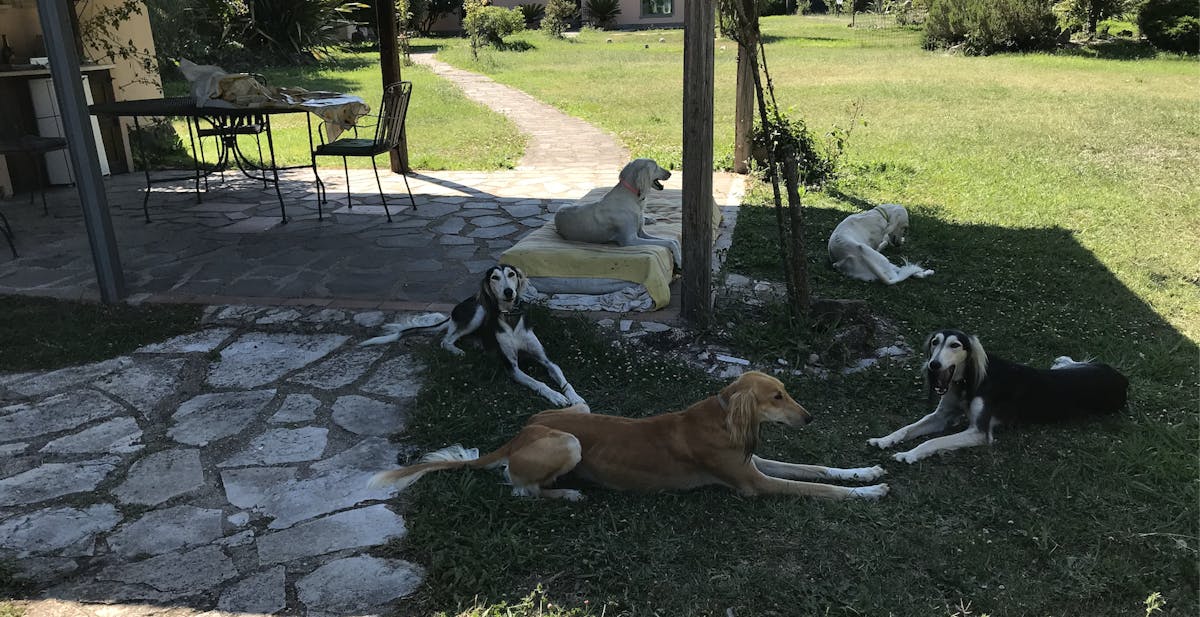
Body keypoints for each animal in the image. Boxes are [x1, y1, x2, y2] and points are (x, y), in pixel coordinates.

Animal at [357, 261, 583, 405]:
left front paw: (575, 398)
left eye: (511, 274)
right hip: (479, 311)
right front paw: (556, 396)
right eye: (494, 277)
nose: (508, 292)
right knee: (446, 340)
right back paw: (458, 351)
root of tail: (457, 308)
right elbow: (539, 383)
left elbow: (564, 380)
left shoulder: (546, 359)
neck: (510, 318)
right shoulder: (511, 367)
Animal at [369, 369, 888, 499]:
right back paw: (567, 495)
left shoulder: (753, 462)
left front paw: (866, 471)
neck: (723, 417)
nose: (810, 418)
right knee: (519, 489)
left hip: (569, 411)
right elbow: (817, 488)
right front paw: (871, 492)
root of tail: (518, 434)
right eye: (776, 397)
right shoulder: (752, 483)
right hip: (568, 441)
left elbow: (817, 468)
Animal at [868, 326, 1128, 460]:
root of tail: (1122, 379)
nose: (934, 365)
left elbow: (933, 441)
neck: (967, 381)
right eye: (935, 342)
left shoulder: (979, 432)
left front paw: (909, 454)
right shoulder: (942, 416)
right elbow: (907, 428)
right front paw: (885, 439)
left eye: (955, 345)